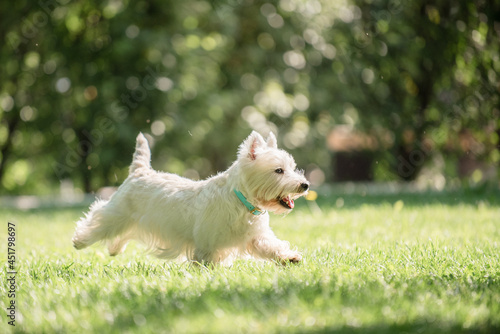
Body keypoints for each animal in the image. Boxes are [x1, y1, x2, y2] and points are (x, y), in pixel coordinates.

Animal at [73, 132, 308, 264]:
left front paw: (290, 257)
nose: (305, 185)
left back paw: (113, 249)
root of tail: (139, 171)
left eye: (292, 167)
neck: (242, 202)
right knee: (98, 219)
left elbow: (272, 246)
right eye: (278, 170)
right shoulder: (207, 244)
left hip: (128, 221)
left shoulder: (255, 237)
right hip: (117, 213)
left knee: (119, 235)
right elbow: (205, 261)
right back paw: (79, 241)